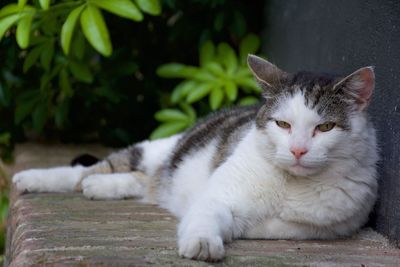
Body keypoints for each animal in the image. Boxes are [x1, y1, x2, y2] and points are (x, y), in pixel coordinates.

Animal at [11, 54, 378, 262]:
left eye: (325, 127)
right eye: (283, 124)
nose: (298, 150)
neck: (288, 184)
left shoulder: (317, 226)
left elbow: (266, 225)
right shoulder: (217, 195)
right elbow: (205, 218)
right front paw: (202, 243)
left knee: (133, 180)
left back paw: (101, 187)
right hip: (157, 148)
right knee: (89, 170)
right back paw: (34, 179)